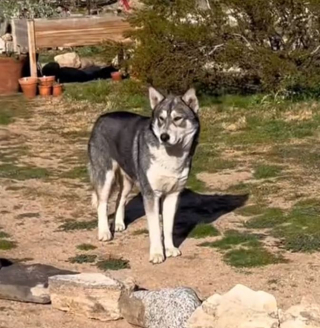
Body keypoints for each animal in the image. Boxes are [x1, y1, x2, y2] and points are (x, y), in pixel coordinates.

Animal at [88, 87, 200, 264]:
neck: (171, 155)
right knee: (102, 203)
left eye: (177, 118)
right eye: (161, 119)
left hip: (128, 181)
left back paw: (118, 223)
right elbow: (155, 228)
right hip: (105, 176)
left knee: (120, 198)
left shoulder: (173, 195)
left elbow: (168, 227)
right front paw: (157, 254)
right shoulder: (151, 194)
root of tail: (102, 117)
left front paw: (170, 249)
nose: (164, 137)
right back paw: (104, 232)